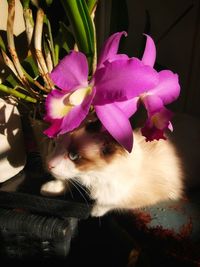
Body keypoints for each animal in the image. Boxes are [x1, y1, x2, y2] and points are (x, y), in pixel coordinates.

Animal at [40, 114, 200, 218]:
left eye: (73, 156)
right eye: (54, 144)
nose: (48, 164)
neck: (95, 176)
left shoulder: (147, 195)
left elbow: (109, 202)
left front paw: (95, 211)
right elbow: (67, 181)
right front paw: (49, 188)